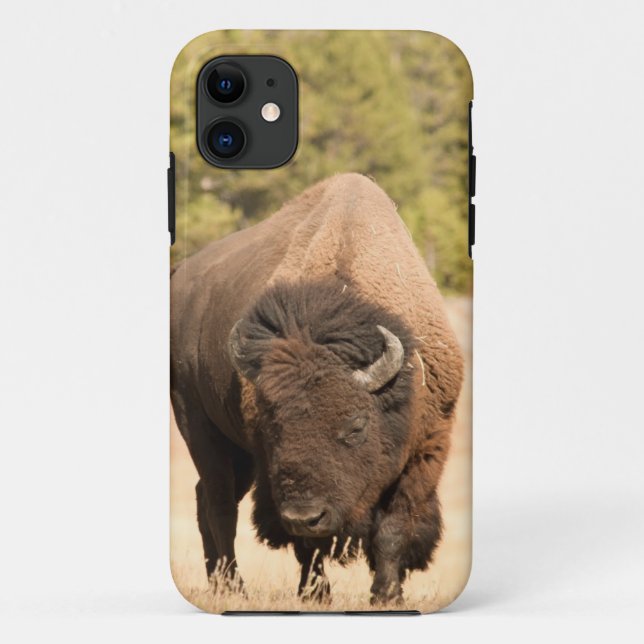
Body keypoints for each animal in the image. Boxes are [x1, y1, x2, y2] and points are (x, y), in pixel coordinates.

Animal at [170, 173, 464, 603]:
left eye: (355, 427)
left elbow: (393, 528)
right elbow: (308, 546)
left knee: (205, 498)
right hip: (200, 428)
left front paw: (387, 595)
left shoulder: (425, 451)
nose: (304, 516)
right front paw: (316, 594)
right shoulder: (273, 474)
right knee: (220, 504)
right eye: (273, 428)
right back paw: (234, 588)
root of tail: (180, 277)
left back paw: (221, 583)